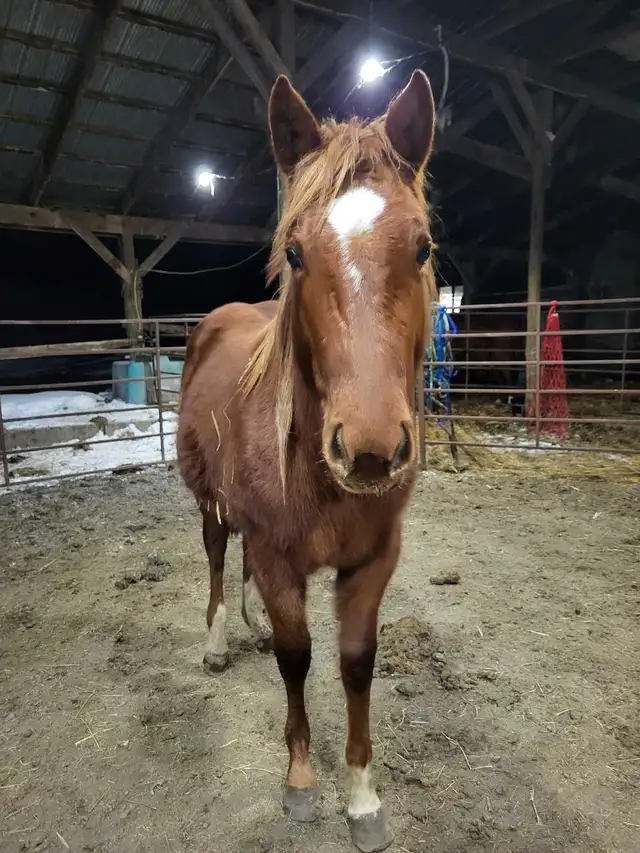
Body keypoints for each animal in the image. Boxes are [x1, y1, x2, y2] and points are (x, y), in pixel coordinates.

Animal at [177, 69, 437, 853]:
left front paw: (363, 796)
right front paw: (300, 780)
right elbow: (298, 657)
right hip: (210, 503)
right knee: (216, 555)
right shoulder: (276, 552)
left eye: (421, 248)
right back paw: (219, 639)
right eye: (294, 252)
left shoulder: (373, 560)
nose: (372, 449)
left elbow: (355, 662)